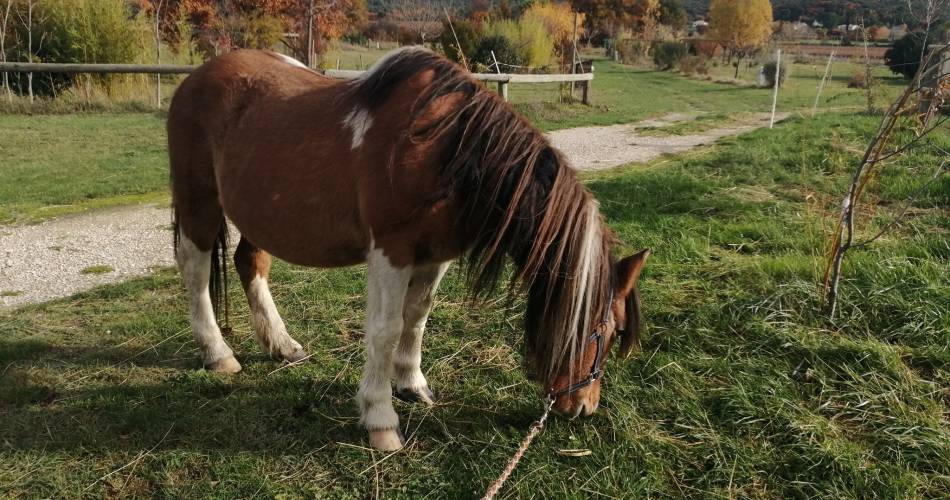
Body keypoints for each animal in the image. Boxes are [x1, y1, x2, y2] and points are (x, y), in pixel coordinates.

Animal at [167, 47, 652, 452]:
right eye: (605, 332)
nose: (583, 407)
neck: (447, 150)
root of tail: (198, 78)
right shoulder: (392, 252)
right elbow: (385, 329)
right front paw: (381, 419)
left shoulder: (436, 254)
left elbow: (417, 318)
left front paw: (412, 384)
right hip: (199, 203)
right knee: (195, 272)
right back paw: (218, 354)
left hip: (260, 213)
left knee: (250, 262)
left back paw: (282, 345)